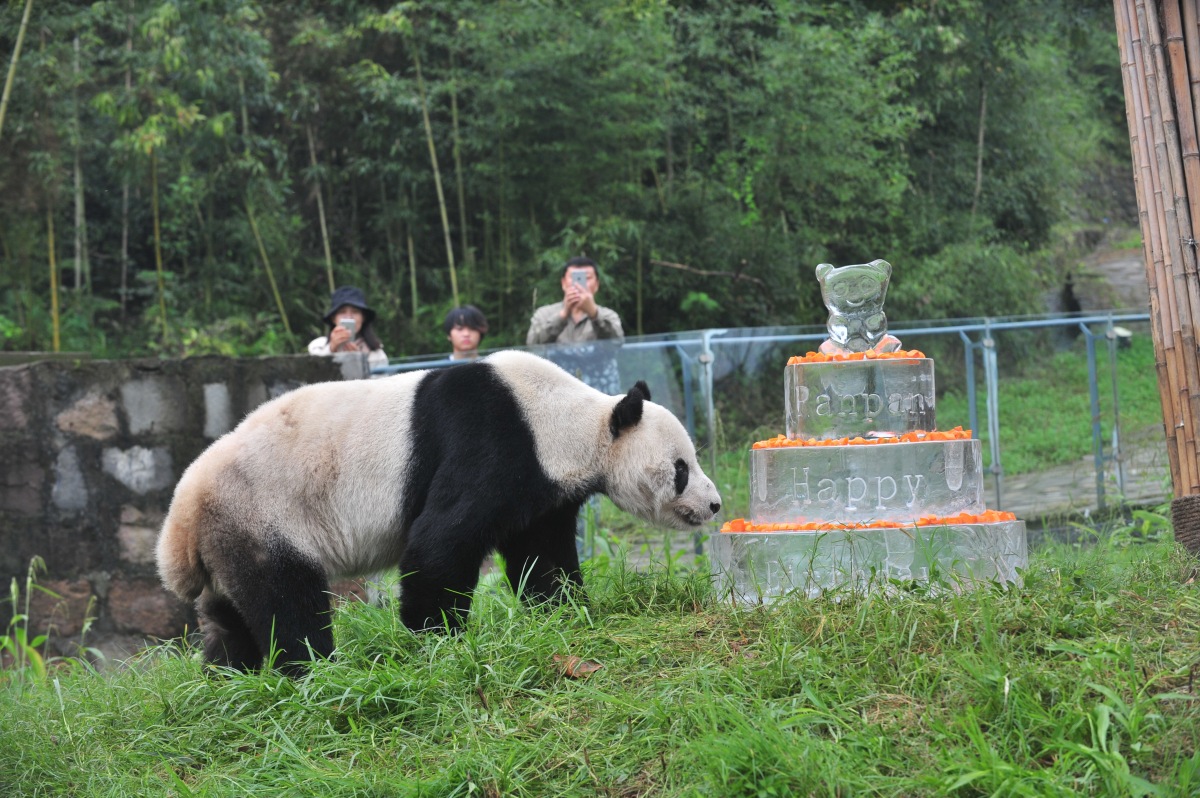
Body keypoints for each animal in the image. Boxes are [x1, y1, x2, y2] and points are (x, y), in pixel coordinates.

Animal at [158, 348, 720, 672]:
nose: (714, 504)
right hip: (263, 514)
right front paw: (436, 636)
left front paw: (564, 608)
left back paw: (230, 675)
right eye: (681, 468)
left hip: (228, 537)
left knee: (231, 615)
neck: (568, 419)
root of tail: (181, 516)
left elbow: (542, 554)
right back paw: (315, 670)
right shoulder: (494, 441)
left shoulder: (543, 488)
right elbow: (441, 540)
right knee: (286, 601)